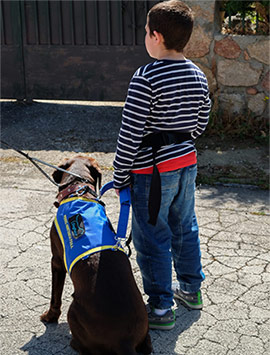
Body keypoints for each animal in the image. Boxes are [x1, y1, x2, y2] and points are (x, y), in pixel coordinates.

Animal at [40, 156, 152, 355]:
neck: (77, 188)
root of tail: (125, 341)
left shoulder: (57, 261)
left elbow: (55, 295)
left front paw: (49, 316)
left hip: (74, 309)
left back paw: (75, 343)